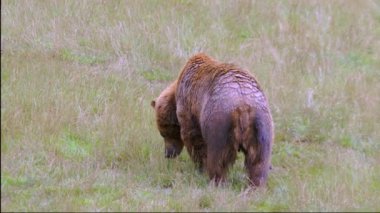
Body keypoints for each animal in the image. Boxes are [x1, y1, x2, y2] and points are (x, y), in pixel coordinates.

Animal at [151, 53, 274, 186]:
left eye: (163, 133)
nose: (168, 154)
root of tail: (243, 106)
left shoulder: (189, 105)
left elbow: (193, 138)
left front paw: (200, 166)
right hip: (261, 123)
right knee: (258, 160)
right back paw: (255, 183)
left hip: (219, 121)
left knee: (218, 156)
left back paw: (216, 179)